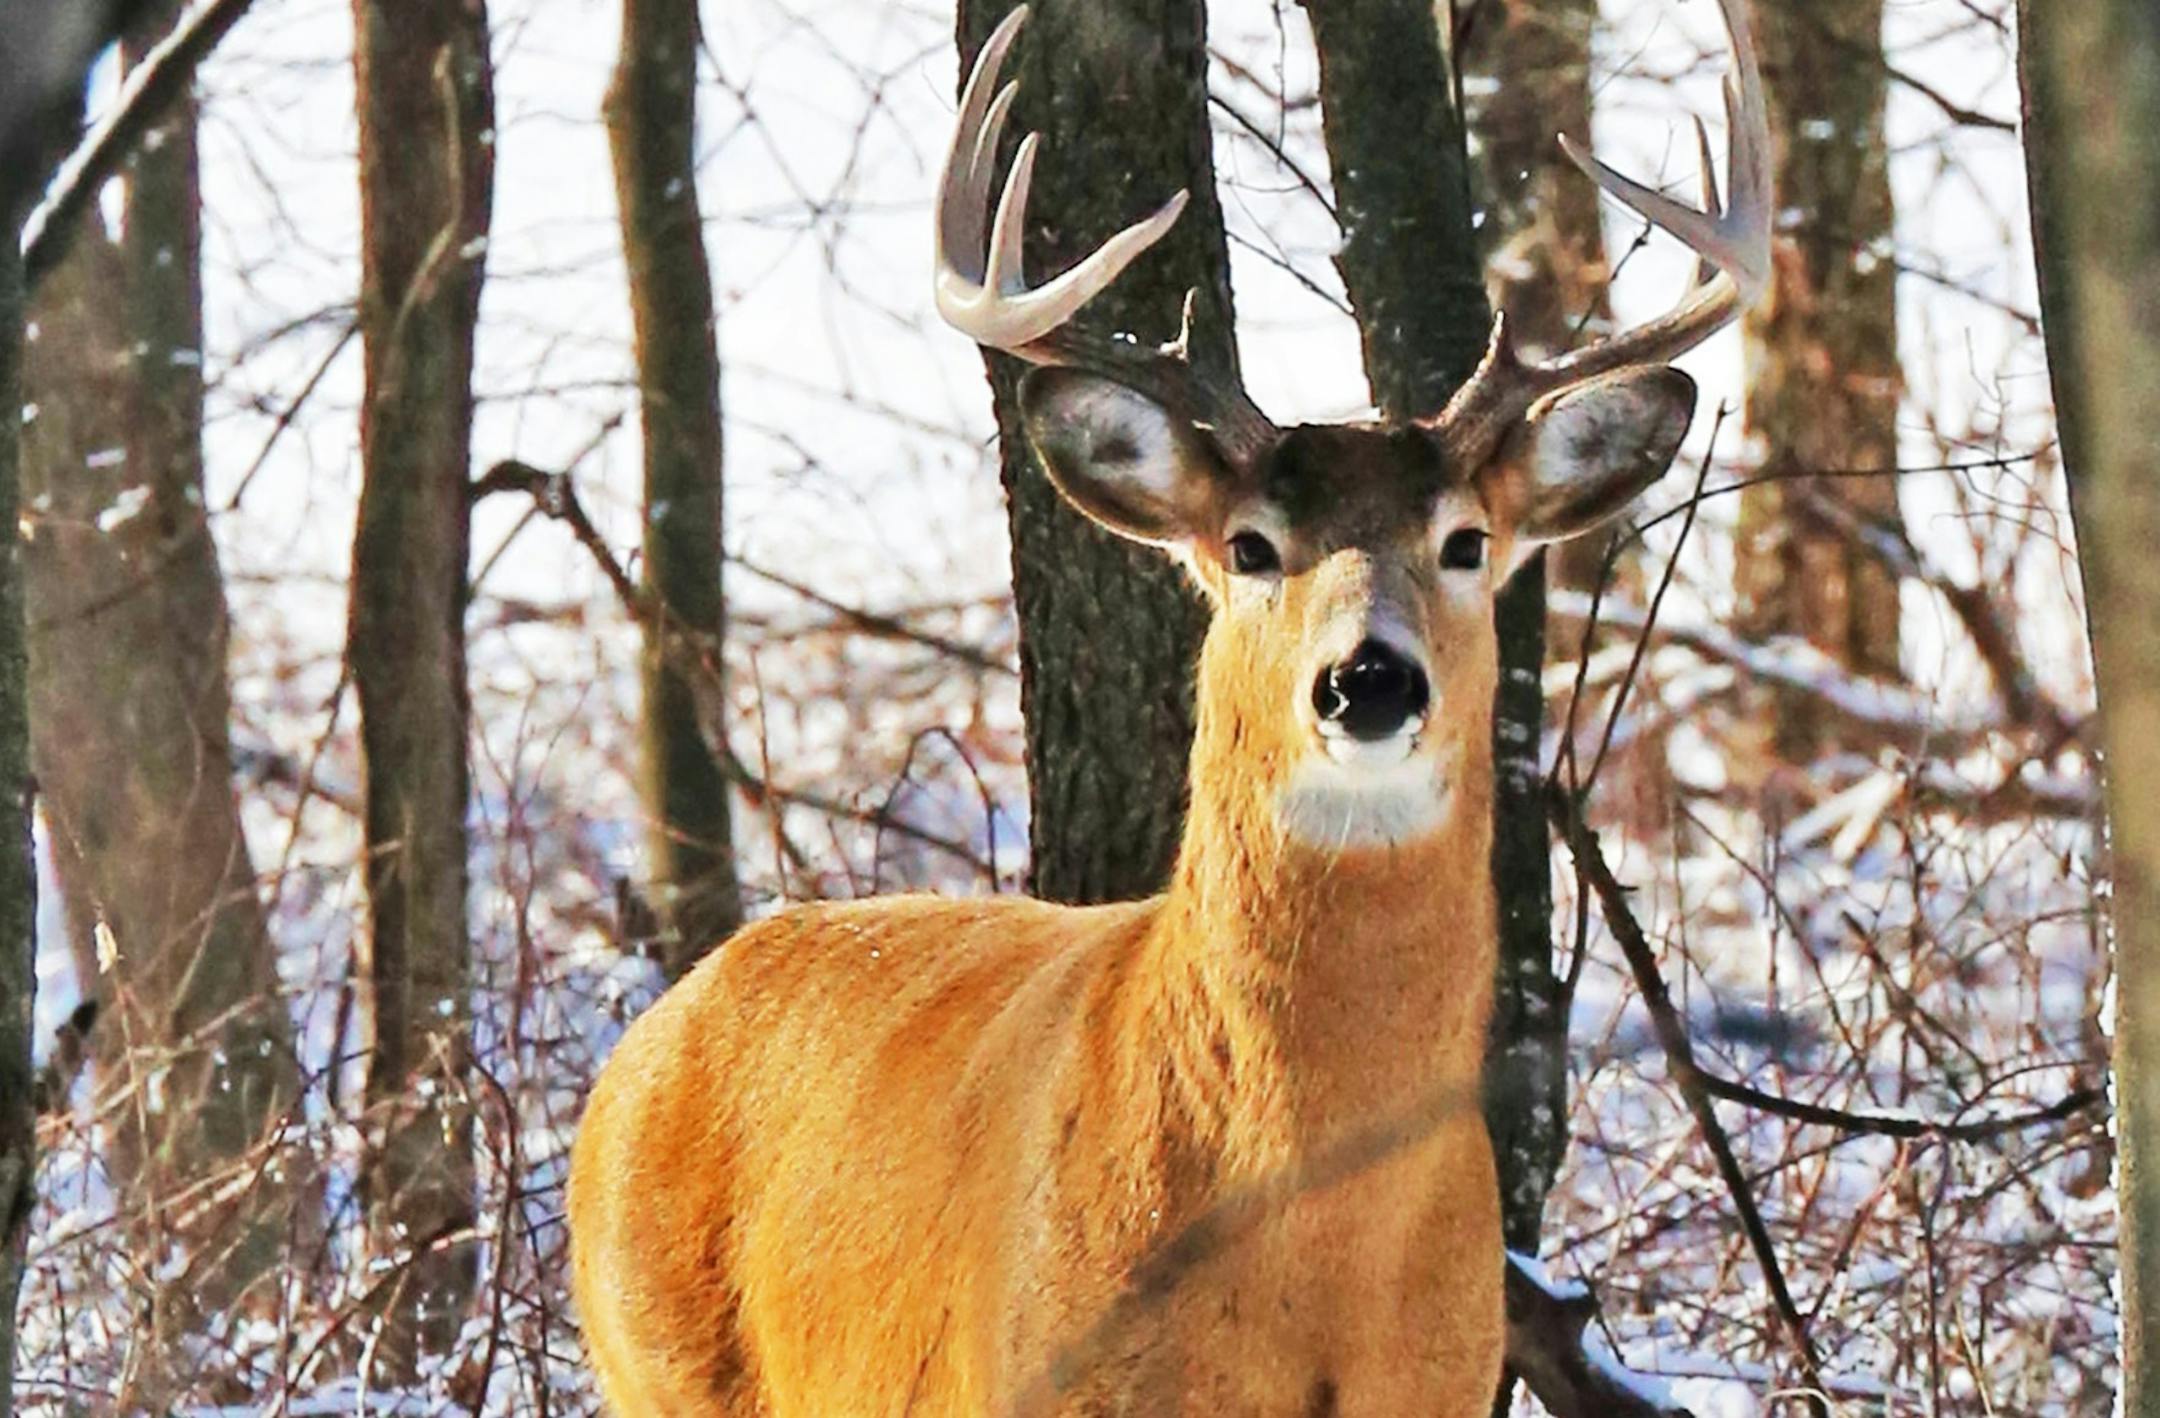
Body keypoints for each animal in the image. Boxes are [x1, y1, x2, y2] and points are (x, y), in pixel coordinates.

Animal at [567, 1, 1768, 1411]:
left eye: (1468, 539)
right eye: (1251, 545)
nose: (1369, 677)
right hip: (657, 1358)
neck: (1316, 1267)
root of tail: (651, 1032)